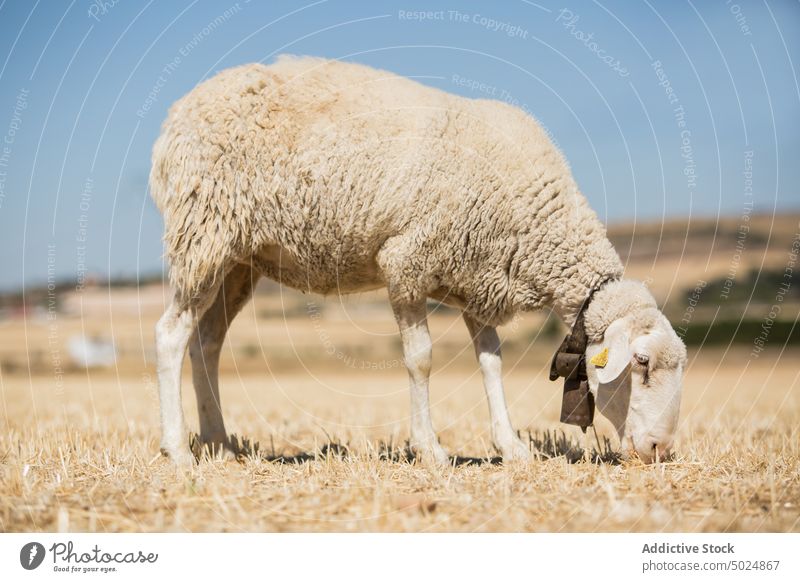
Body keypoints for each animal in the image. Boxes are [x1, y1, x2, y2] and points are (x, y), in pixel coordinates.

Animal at [152, 56, 688, 470]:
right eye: (641, 363)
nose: (659, 450)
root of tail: (180, 112)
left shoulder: (479, 279)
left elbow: (491, 363)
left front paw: (511, 446)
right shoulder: (407, 263)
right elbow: (421, 359)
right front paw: (430, 450)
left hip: (237, 260)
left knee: (206, 342)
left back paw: (220, 444)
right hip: (203, 233)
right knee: (171, 335)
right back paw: (179, 450)